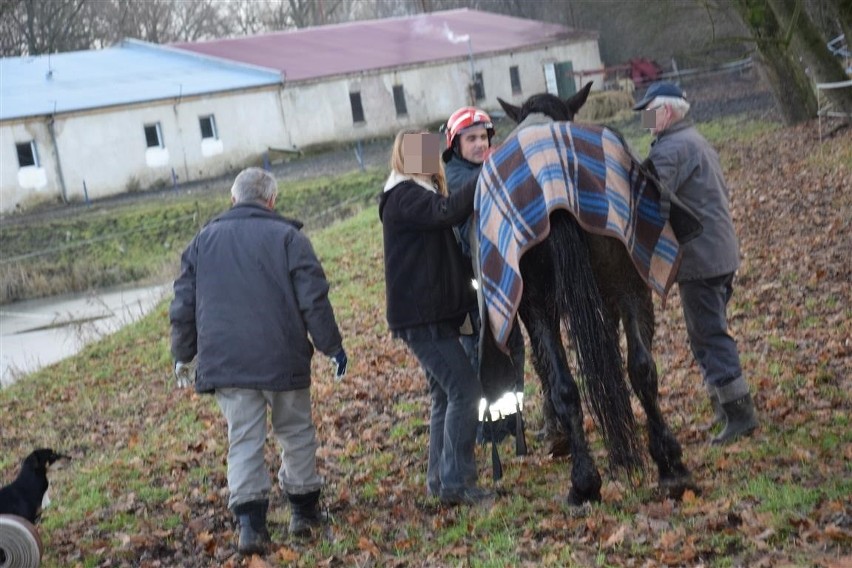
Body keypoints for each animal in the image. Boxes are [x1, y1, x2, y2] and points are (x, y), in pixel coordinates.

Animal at [472, 82, 700, 504]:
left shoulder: (532, 308)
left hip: (552, 303)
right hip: (628, 287)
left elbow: (550, 368)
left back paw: (586, 479)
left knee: (571, 382)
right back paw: (666, 464)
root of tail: (554, 182)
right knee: (641, 368)